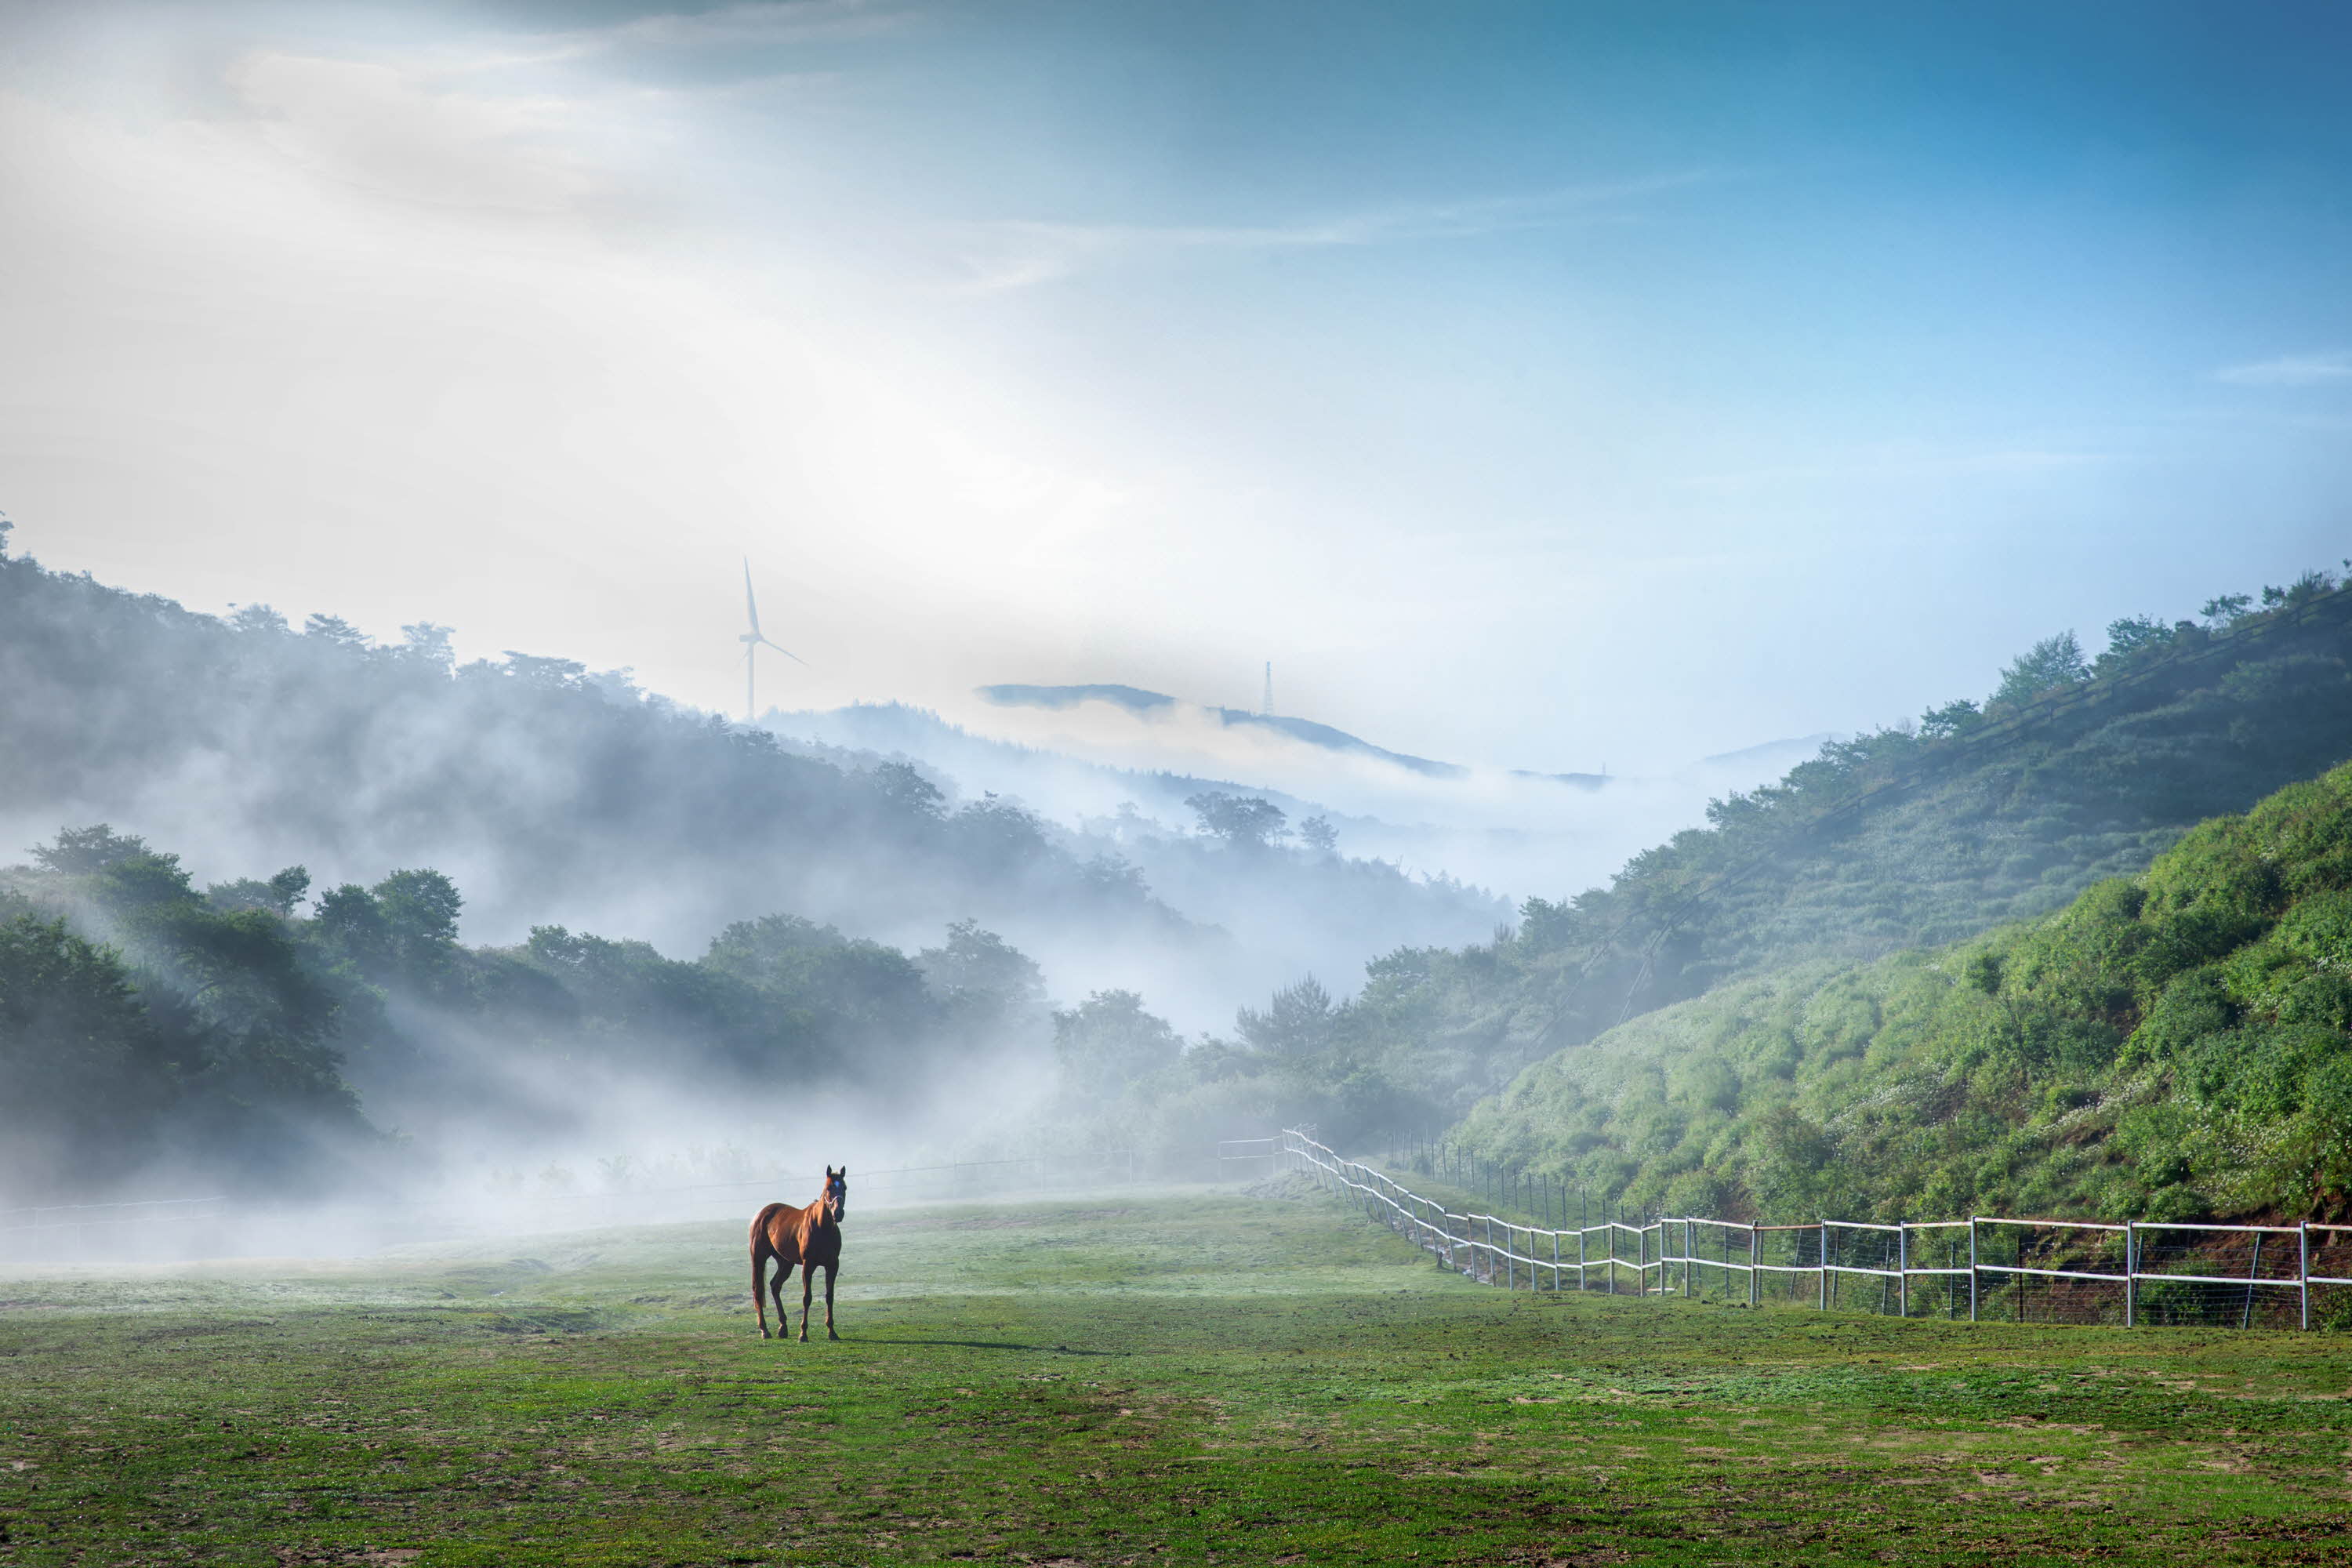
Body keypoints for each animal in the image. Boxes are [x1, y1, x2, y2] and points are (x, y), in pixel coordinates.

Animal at [748, 1171, 851, 1345]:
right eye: (829, 1188)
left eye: (844, 1187)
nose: (838, 1213)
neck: (822, 1227)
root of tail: (760, 1214)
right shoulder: (808, 1265)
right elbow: (807, 1298)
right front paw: (803, 1334)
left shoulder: (832, 1265)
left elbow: (829, 1296)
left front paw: (832, 1332)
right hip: (759, 1258)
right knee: (758, 1290)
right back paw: (765, 1330)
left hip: (785, 1263)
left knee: (775, 1286)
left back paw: (783, 1327)